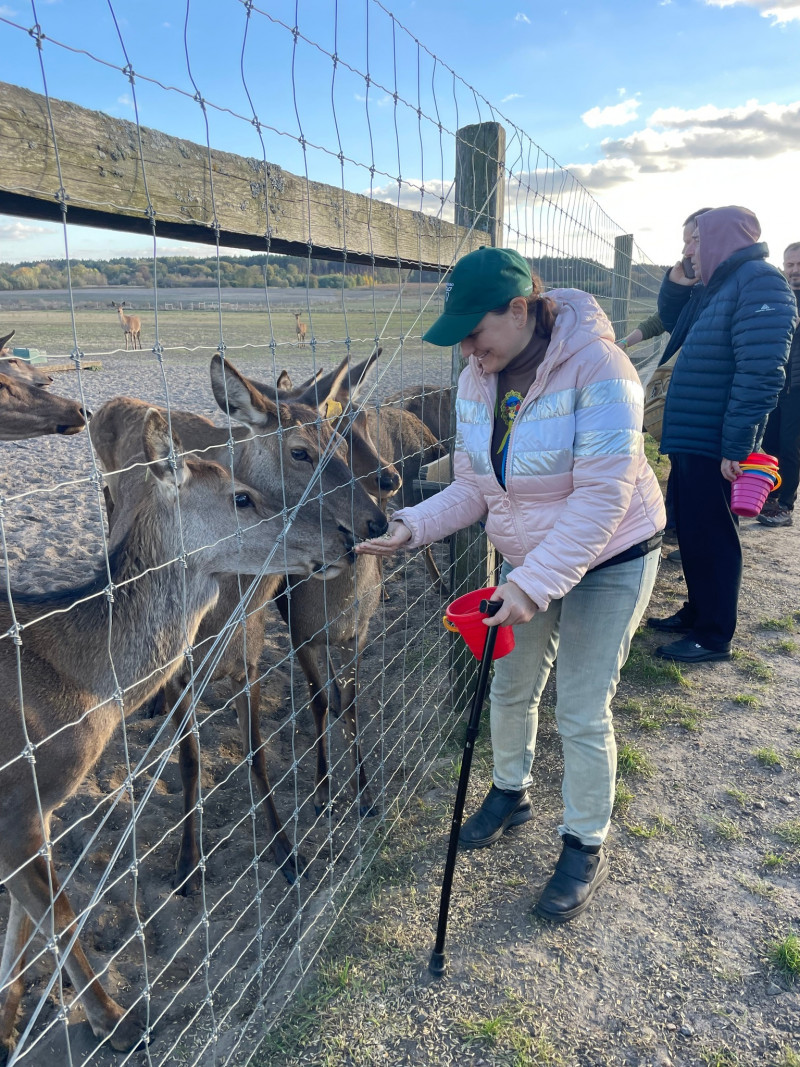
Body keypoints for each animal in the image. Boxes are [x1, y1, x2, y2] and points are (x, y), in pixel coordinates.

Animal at [0, 405, 354, 1058]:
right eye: (242, 497)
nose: (342, 537)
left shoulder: (27, 810)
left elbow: (21, 925)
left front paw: (8, 1026)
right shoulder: (18, 801)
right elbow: (55, 914)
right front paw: (118, 1023)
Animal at [90, 354, 392, 887]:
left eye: (338, 443)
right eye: (299, 452)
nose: (376, 520)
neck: (219, 621)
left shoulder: (250, 658)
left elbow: (257, 752)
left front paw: (286, 851)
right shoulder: (182, 669)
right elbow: (190, 761)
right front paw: (187, 863)